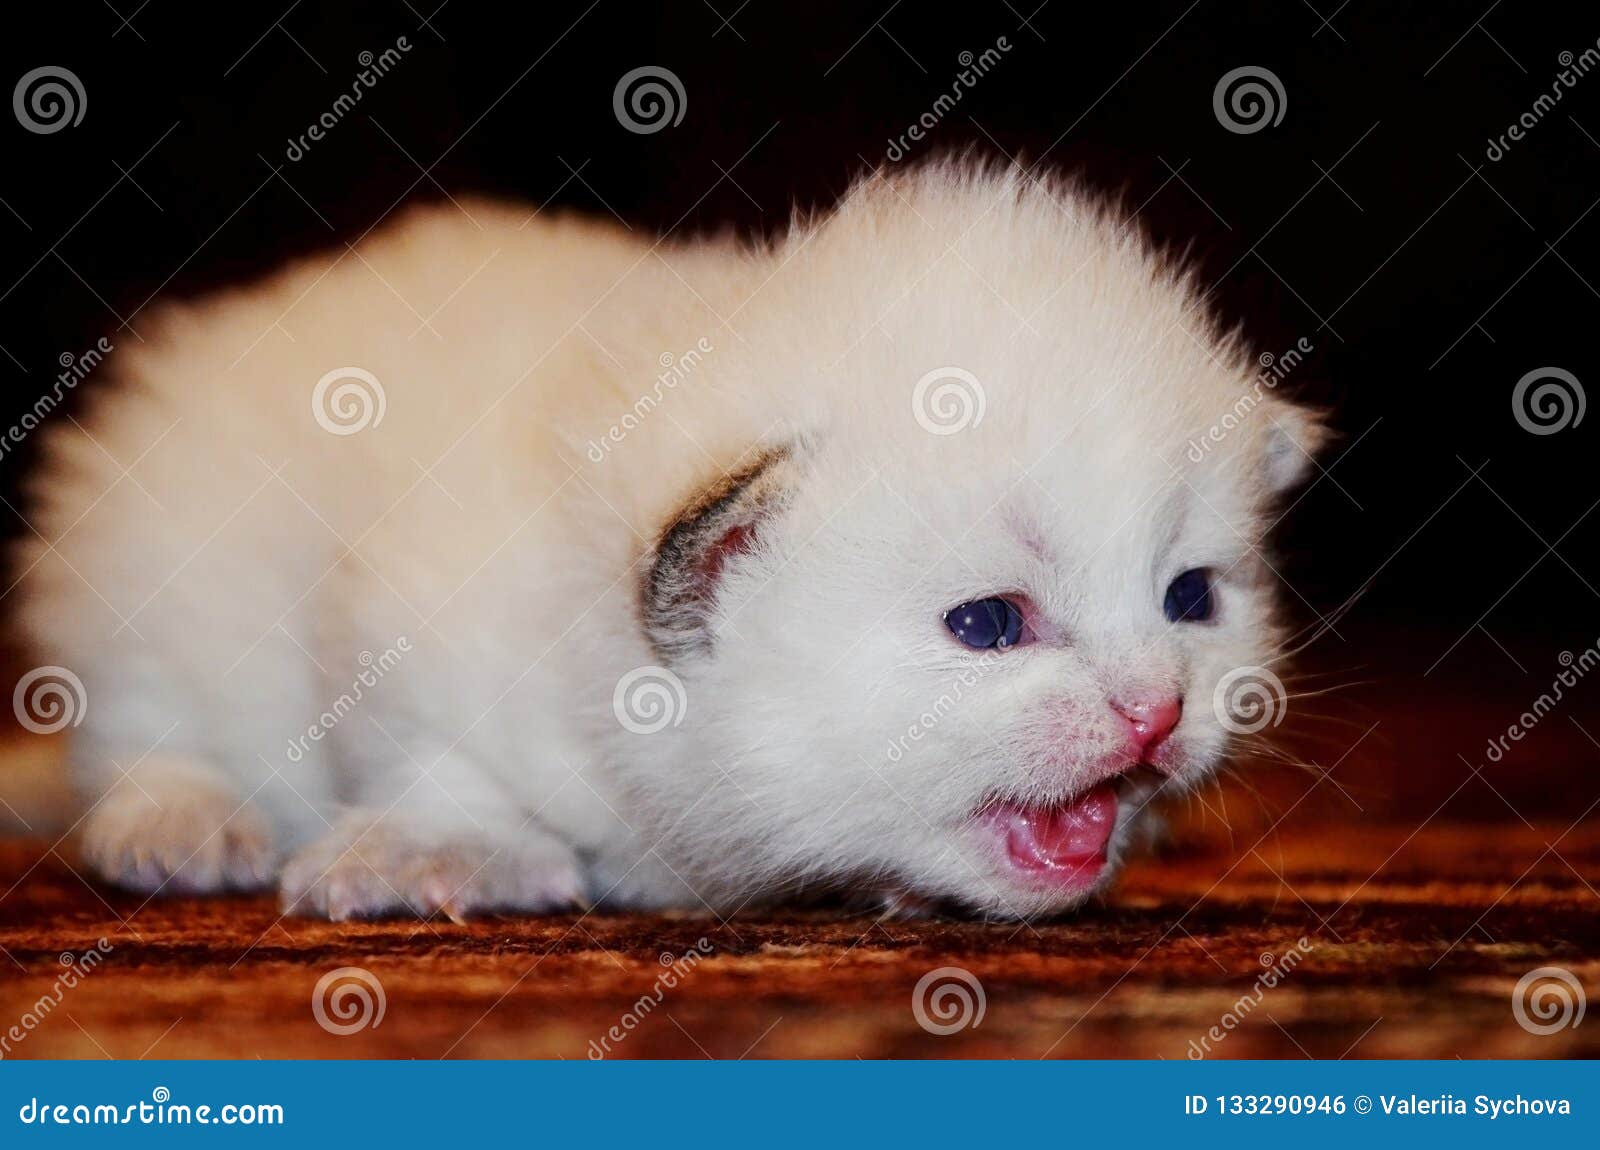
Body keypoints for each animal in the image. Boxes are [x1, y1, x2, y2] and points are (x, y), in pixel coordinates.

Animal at [6, 161, 1318, 921]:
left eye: (1190, 599)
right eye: (987, 624)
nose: (1156, 711)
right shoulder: (407, 618)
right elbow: (426, 752)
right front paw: (444, 849)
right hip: (157, 556)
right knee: (142, 727)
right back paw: (178, 820)